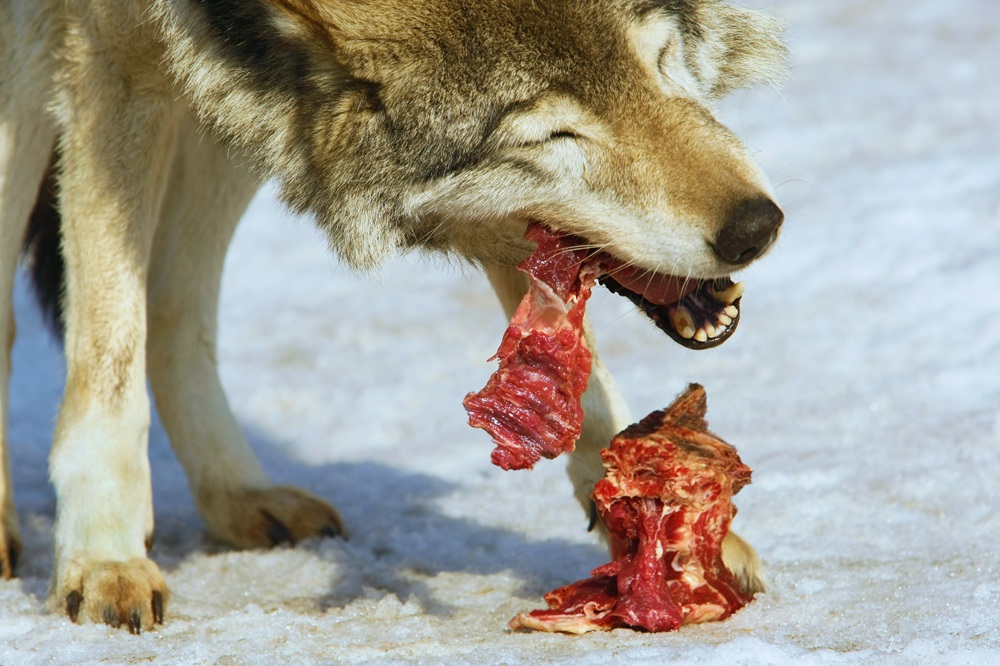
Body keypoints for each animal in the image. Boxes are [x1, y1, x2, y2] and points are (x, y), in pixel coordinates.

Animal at [0, 0, 786, 631]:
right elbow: (108, 349)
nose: (758, 227)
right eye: (555, 136)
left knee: (173, 299)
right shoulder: (111, 53)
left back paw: (240, 493)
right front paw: (103, 556)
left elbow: (582, 378)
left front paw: (655, 529)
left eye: (660, 60)